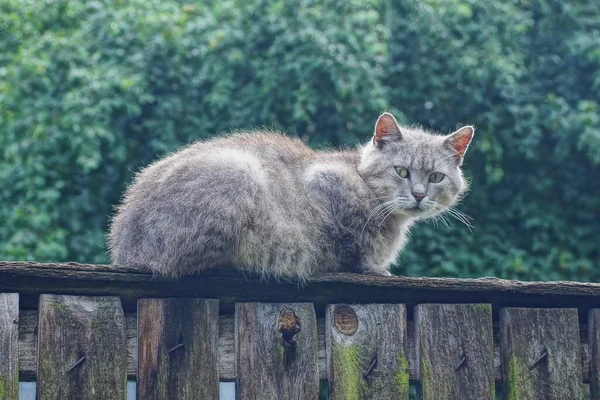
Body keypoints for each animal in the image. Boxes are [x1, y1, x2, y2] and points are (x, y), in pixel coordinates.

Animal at [108, 112, 474, 282]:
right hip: (240, 171)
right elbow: (354, 240)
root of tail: (125, 238)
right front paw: (370, 266)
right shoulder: (323, 182)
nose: (419, 194)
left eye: (436, 177)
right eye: (401, 171)